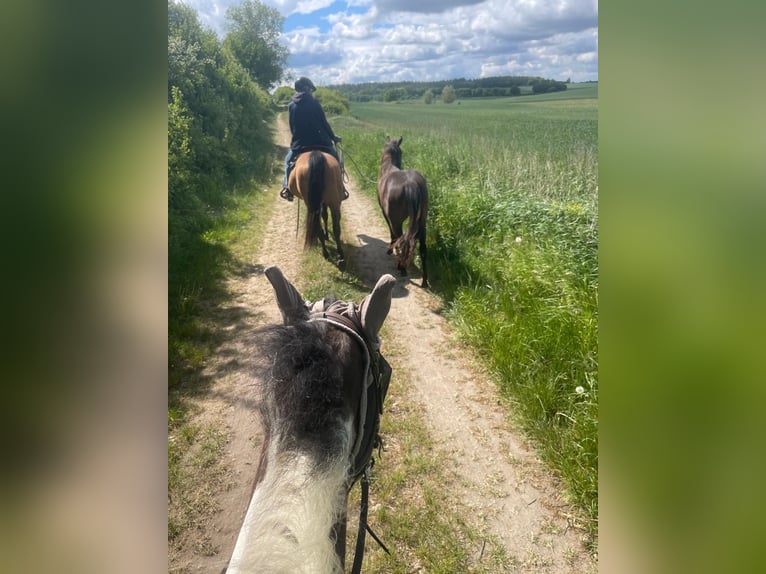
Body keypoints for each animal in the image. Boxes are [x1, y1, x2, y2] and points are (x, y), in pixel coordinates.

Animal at [377, 136, 429, 288]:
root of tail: (411, 184)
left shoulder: (386, 214)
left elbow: (392, 233)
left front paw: (390, 249)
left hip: (397, 220)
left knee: (401, 239)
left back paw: (401, 267)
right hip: (422, 222)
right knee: (423, 249)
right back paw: (424, 281)